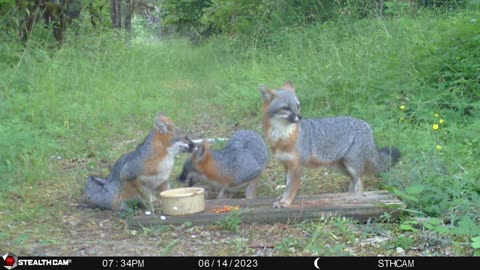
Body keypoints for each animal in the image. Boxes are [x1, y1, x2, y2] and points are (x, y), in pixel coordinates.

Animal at [258, 81, 402, 208]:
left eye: (297, 106)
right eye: (286, 108)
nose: (300, 117)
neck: (281, 138)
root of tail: (367, 125)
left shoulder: (297, 166)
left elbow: (290, 188)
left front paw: (285, 202)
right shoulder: (286, 165)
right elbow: (286, 185)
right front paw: (282, 199)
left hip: (352, 165)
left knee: (360, 181)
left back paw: (356, 198)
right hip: (341, 167)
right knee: (353, 181)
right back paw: (348, 196)